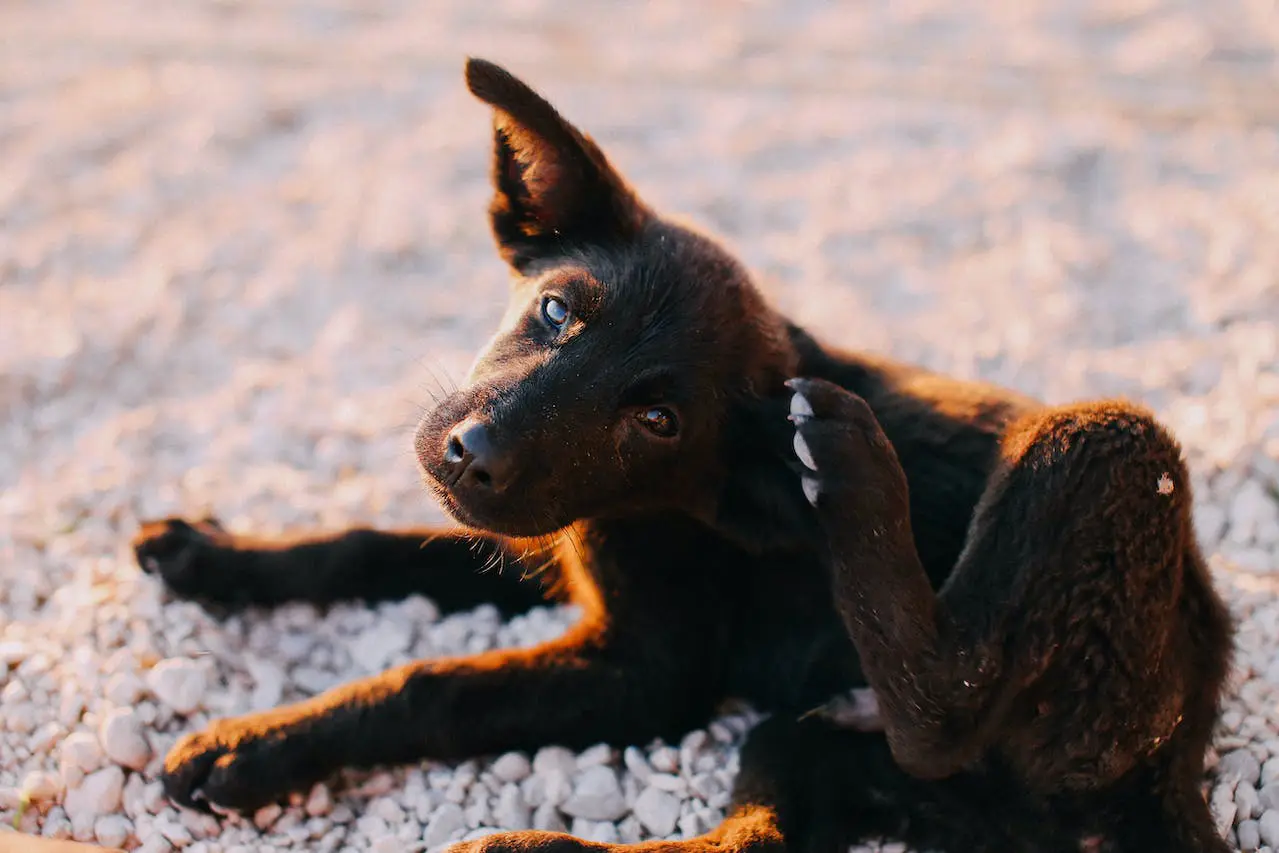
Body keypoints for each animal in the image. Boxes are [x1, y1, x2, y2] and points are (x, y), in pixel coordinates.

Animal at [134, 60, 1232, 853]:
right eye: (555, 310)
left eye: (658, 419)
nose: (469, 455)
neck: (657, 502)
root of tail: (1181, 741)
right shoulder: (547, 544)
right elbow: (368, 543)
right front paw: (212, 554)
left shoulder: (646, 670)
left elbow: (434, 685)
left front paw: (257, 743)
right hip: (829, 748)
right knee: (764, 829)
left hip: (1103, 447)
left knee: (941, 704)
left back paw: (847, 470)